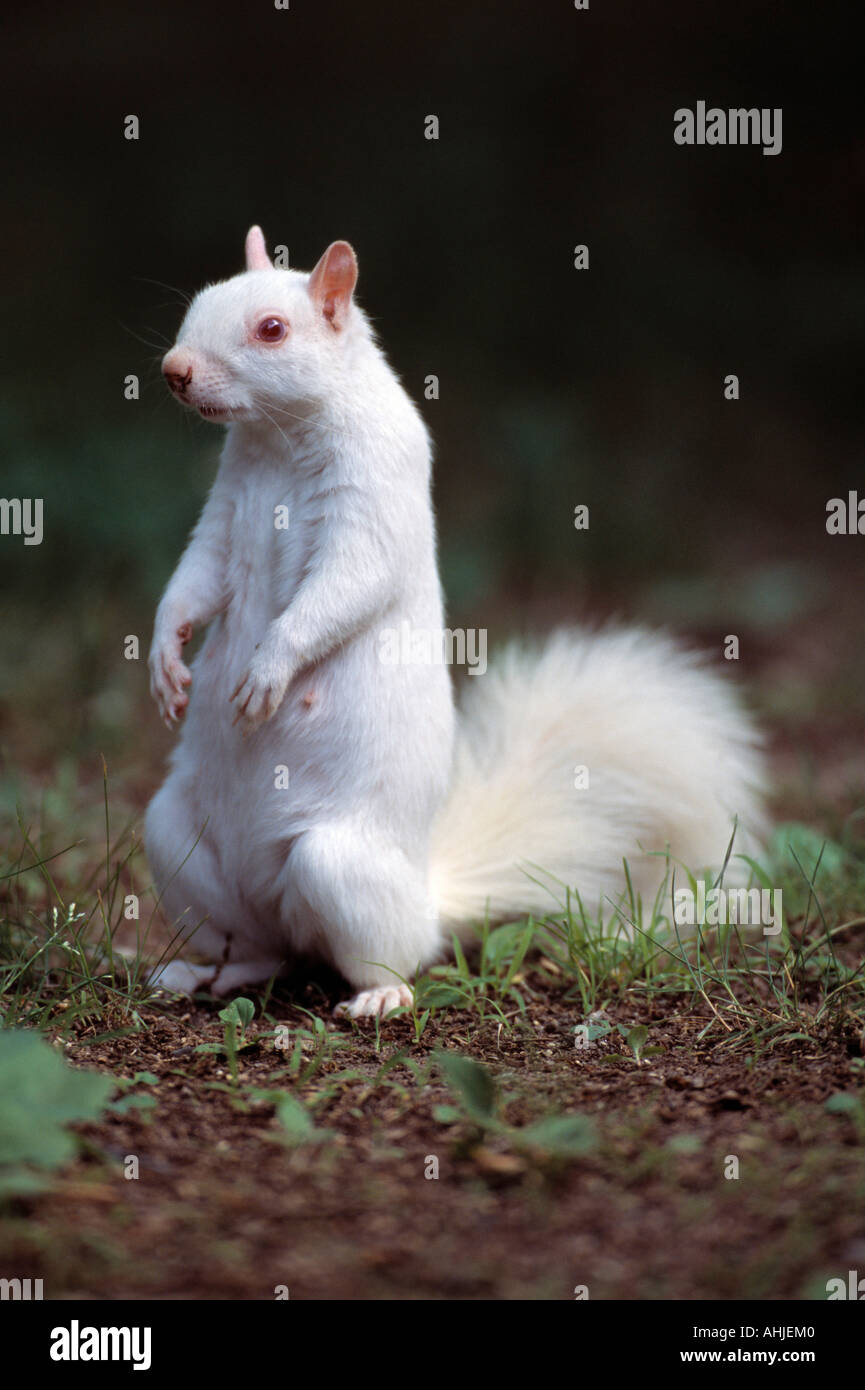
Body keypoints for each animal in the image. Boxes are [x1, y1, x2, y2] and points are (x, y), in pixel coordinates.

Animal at [146, 225, 767, 1011]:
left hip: (336, 867)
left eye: (272, 329)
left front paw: (266, 672)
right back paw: (201, 973)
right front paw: (165, 662)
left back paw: (378, 996)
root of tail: (426, 896)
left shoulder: (374, 495)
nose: (174, 371)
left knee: (388, 957)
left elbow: (344, 587)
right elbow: (194, 580)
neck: (278, 441)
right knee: (262, 951)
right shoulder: (226, 511)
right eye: (201, 298)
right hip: (175, 840)